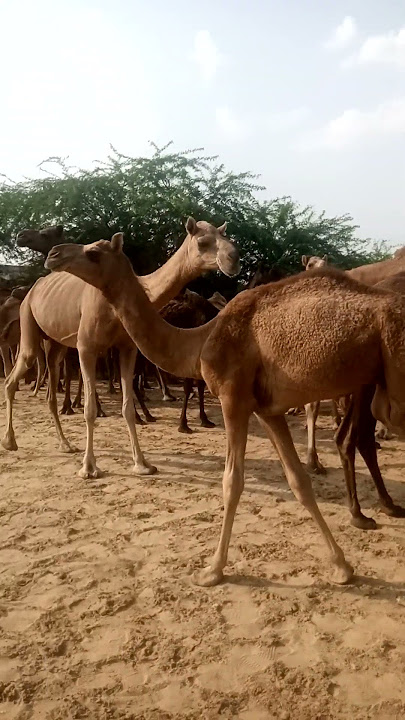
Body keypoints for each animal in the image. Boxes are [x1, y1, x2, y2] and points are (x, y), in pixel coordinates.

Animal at [3, 219, 240, 479]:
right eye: (202, 242)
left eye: (227, 237)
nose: (233, 258)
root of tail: (32, 289)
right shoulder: (87, 347)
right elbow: (90, 408)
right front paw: (89, 468)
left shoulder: (127, 347)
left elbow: (127, 406)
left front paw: (142, 463)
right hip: (28, 322)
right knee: (14, 377)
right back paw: (10, 442)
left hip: (56, 344)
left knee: (50, 387)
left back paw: (65, 444)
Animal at [44, 236, 405, 587]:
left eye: (93, 252)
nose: (53, 254)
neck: (200, 341)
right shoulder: (266, 410)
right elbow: (298, 480)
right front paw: (342, 567)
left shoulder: (233, 399)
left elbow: (232, 483)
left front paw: (212, 570)